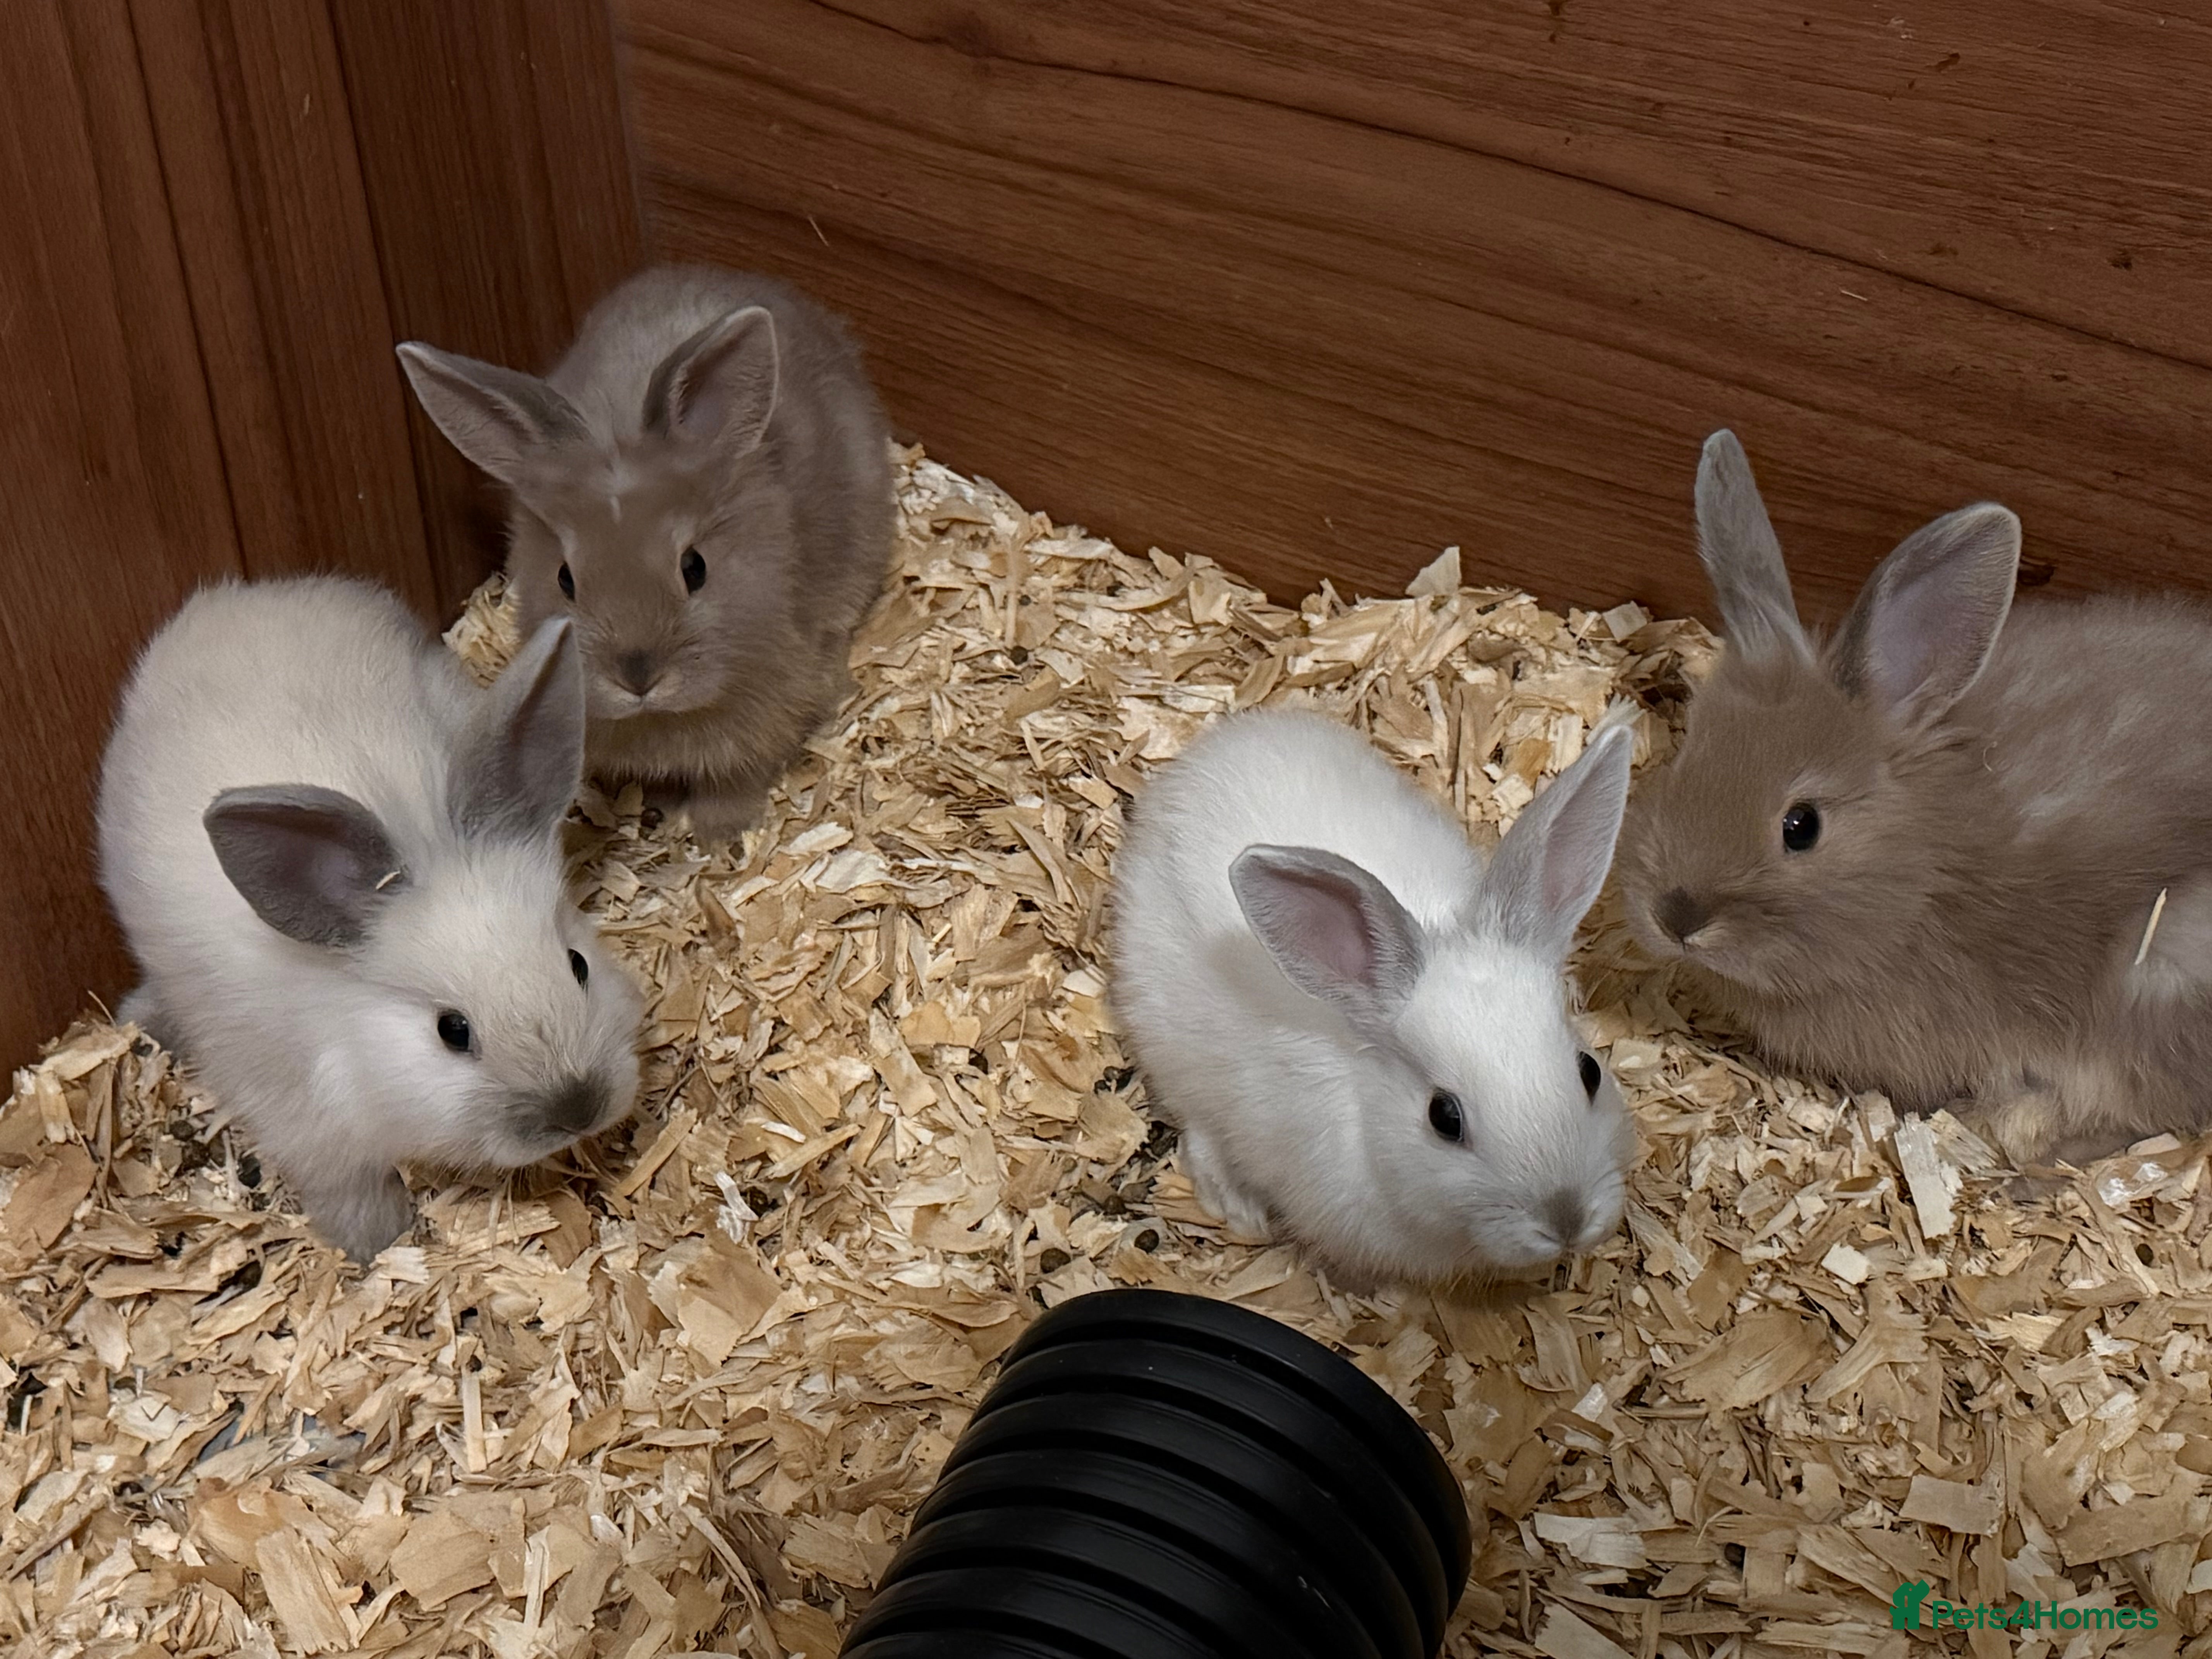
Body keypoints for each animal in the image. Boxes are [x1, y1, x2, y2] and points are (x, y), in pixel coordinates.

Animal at [97, 576, 644, 1260]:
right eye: (452, 1031)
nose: (578, 1108)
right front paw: (380, 1247)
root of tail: (241, 596)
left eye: (577, 965)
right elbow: (352, 1194)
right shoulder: (307, 1126)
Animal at [395, 264, 895, 840]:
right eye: (565, 579)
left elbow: (737, 784)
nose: (638, 677)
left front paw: (719, 836)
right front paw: (660, 810)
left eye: (695, 568)